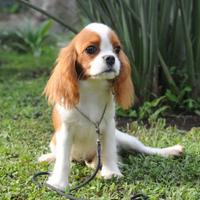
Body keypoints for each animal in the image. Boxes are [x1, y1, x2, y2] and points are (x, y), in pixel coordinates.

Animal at [38, 22, 184, 190]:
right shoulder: (65, 130)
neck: (93, 88)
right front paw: (59, 183)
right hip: (54, 142)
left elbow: (108, 150)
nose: (111, 58)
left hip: (125, 138)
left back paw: (170, 151)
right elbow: (62, 160)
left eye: (117, 49)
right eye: (91, 49)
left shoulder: (108, 126)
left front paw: (111, 172)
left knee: (144, 149)